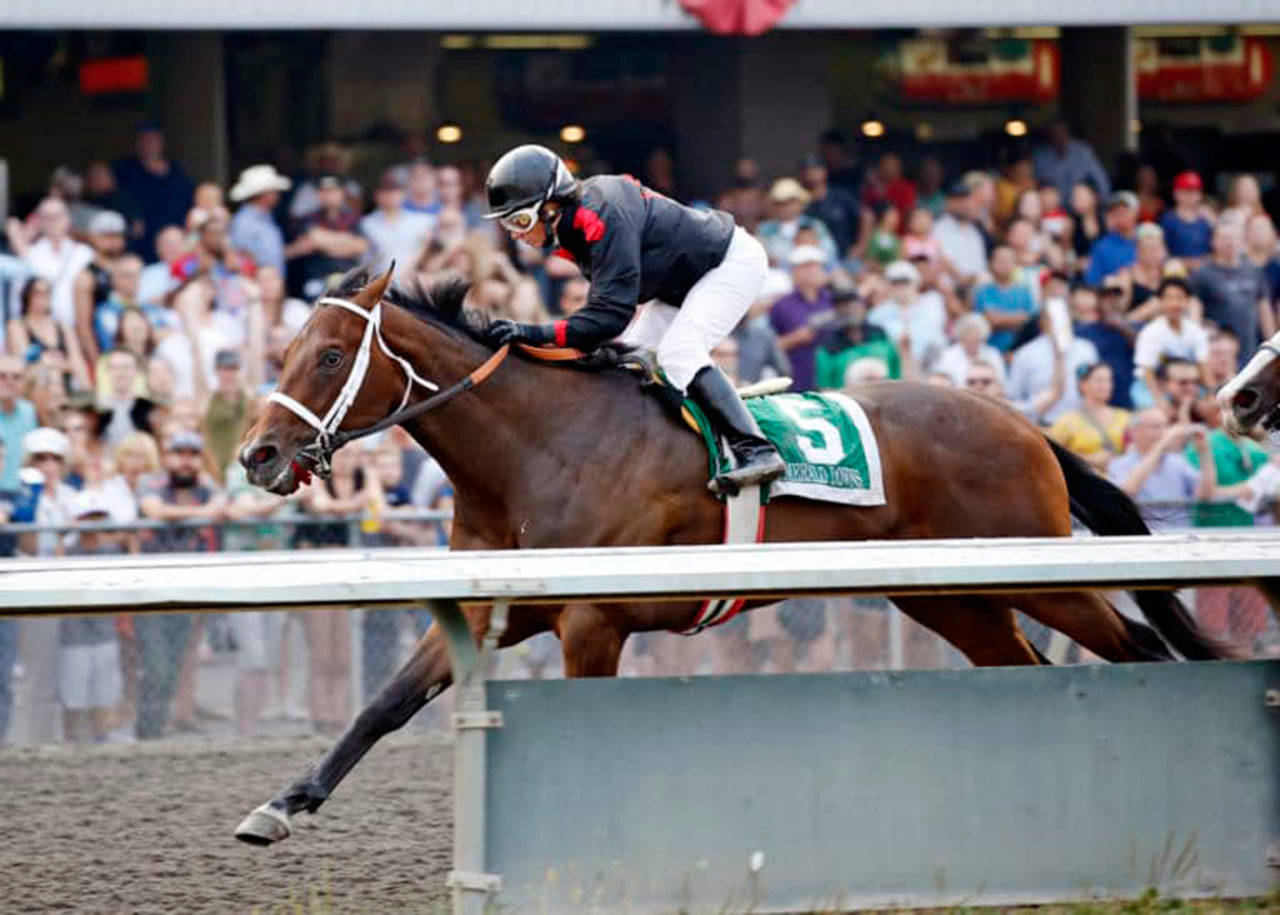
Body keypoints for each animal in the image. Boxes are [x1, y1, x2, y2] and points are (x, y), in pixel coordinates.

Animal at [232, 268, 1228, 849]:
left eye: (329, 354)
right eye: (288, 347)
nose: (256, 455)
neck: (537, 449)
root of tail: (1020, 421)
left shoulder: (593, 619)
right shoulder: (485, 607)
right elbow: (384, 704)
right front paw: (279, 804)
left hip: (1041, 573)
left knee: (1138, 648)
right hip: (950, 598)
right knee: (1024, 669)